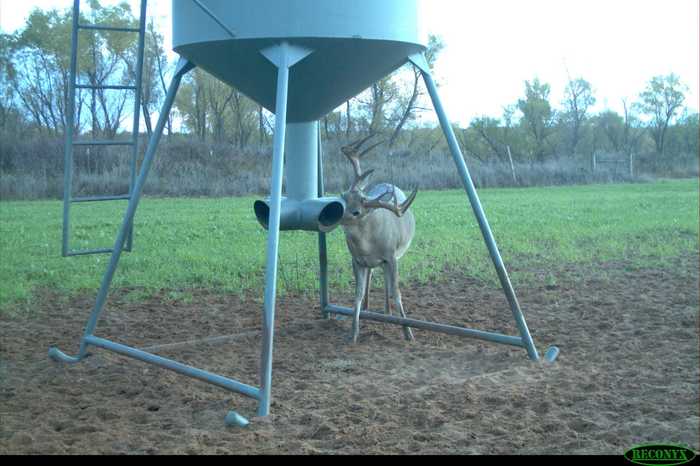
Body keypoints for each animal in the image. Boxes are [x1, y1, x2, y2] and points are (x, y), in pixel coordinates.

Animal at [338, 133, 416, 344]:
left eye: (356, 212)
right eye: (343, 197)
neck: (367, 244)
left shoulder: (391, 256)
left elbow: (396, 292)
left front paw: (408, 332)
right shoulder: (356, 260)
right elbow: (357, 294)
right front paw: (353, 333)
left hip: (394, 256)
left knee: (387, 281)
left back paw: (388, 311)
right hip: (372, 263)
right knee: (373, 275)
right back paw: (370, 308)